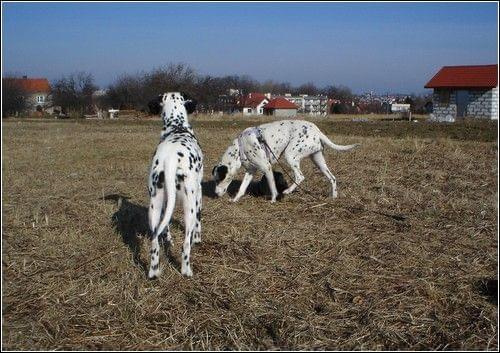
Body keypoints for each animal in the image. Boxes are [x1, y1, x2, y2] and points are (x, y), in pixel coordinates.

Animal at [146, 91, 203, 278]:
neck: (177, 127)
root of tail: (170, 158)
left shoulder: (165, 203)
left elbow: (167, 228)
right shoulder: (199, 194)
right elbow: (199, 224)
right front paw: (198, 239)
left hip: (154, 207)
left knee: (155, 242)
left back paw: (154, 271)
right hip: (189, 207)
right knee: (185, 245)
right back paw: (186, 270)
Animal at [211, 119, 360, 202]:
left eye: (218, 180)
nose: (215, 194)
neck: (240, 146)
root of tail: (317, 130)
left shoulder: (266, 167)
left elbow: (272, 187)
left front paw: (273, 200)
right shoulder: (250, 172)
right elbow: (242, 189)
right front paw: (235, 200)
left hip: (290, 155)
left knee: (300, 176)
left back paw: (288, 191)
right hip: (318, 161)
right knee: (332, 178)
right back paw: (333, 197)